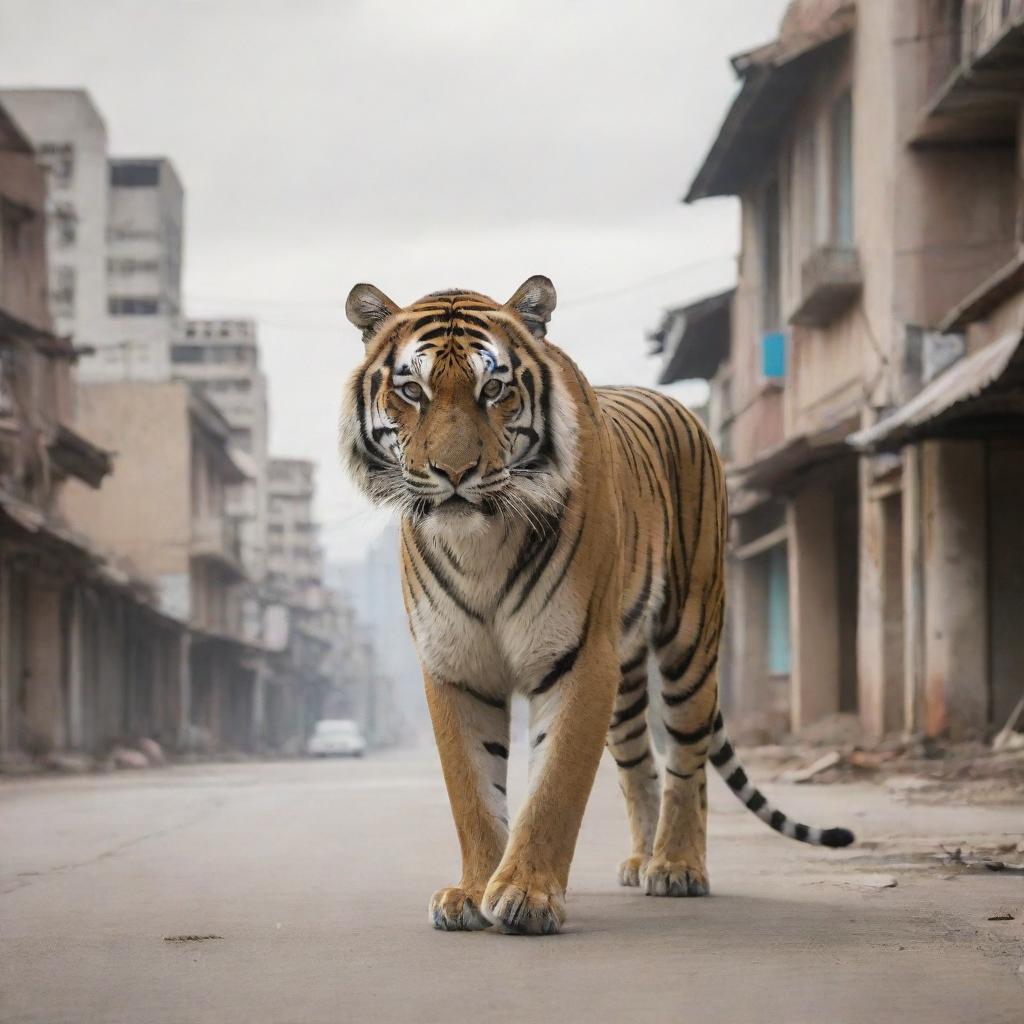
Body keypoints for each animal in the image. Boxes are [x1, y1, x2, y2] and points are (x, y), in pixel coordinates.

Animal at [339, 272, 851, 937]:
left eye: (493, 388)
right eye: (411, 391)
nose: (454, 472)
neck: (480, 544)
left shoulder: (579, 658)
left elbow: (555, 785)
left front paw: (526, 894)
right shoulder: (455, 665)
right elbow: (472, 792)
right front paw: (472, 891)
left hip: (690, 640)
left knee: (687, 761)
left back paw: (677, 866)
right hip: (627, 683)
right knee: (640, 766)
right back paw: (641, 860)